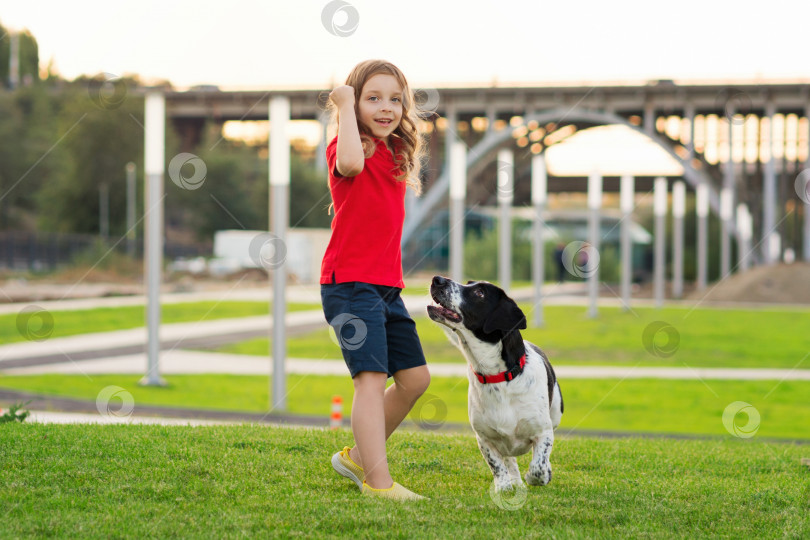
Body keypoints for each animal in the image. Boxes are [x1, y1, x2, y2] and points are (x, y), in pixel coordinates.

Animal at [426, 276, 564, 492]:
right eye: (468, 283)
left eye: (480, 293)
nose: (437, 279)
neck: (499, 378)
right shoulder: (485, 439)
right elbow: (497, 465)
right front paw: (504, 486)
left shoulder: (543, 432)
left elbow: (538, 468)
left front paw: (539, 475)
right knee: (510, 460)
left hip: (556, 411)